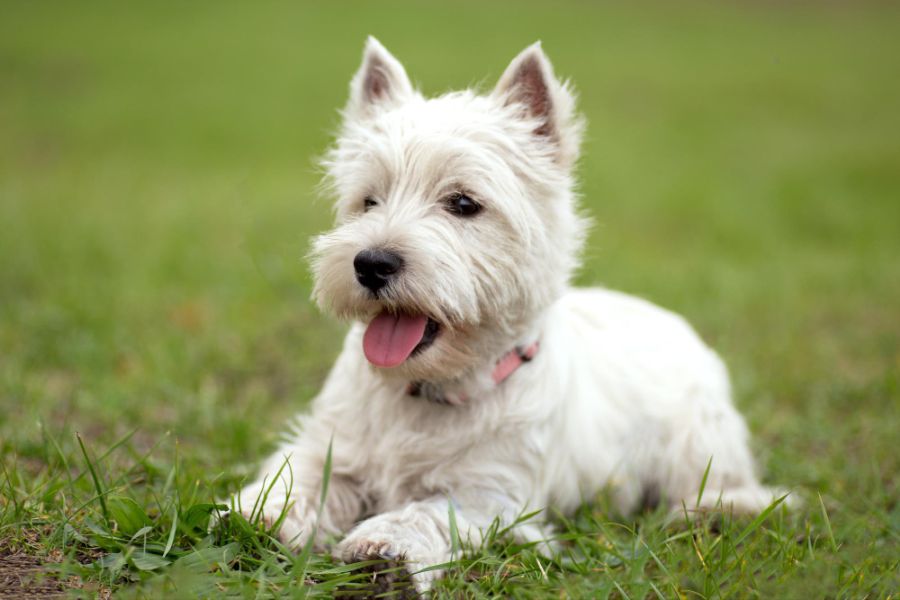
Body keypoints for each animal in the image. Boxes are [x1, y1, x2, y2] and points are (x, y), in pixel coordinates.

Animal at [234, 38, 788, 596]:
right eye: (369, 201)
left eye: (463, 203)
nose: (371, 263)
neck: (427, 391)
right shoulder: (333, 446)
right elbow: (299, 477)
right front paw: (257, 516)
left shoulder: (493, 496)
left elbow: (427, 511)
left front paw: (381, 549)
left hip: (697, 437)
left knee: (725, 482)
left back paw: (715, 512)